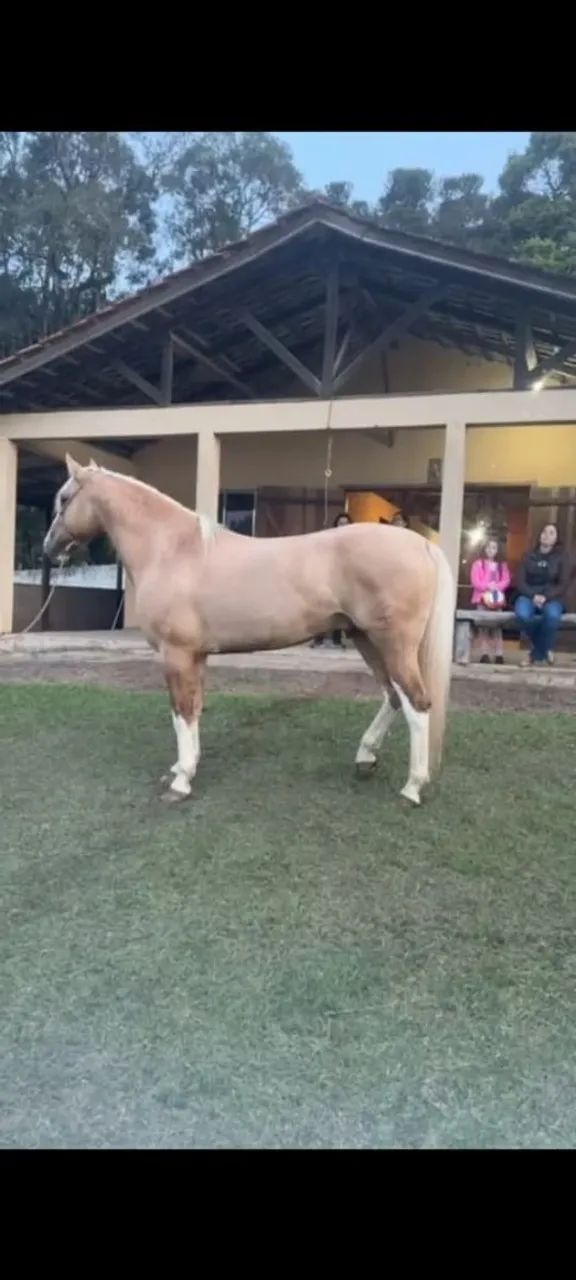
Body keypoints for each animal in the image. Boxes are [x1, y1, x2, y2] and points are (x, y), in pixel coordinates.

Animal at [43, 455, 455, 806]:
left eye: (64, 497)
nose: (50, 549)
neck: (174, 550)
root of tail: (420, 544)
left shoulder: (177, 654)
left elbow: (180, 711)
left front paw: (181, 782)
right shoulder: (197, 656)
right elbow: (194, 710)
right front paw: (184, 767)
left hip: (393, 643)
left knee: (417, 704)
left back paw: (412, 787)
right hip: (366, 639)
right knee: (393, 697)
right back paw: (365, 758)